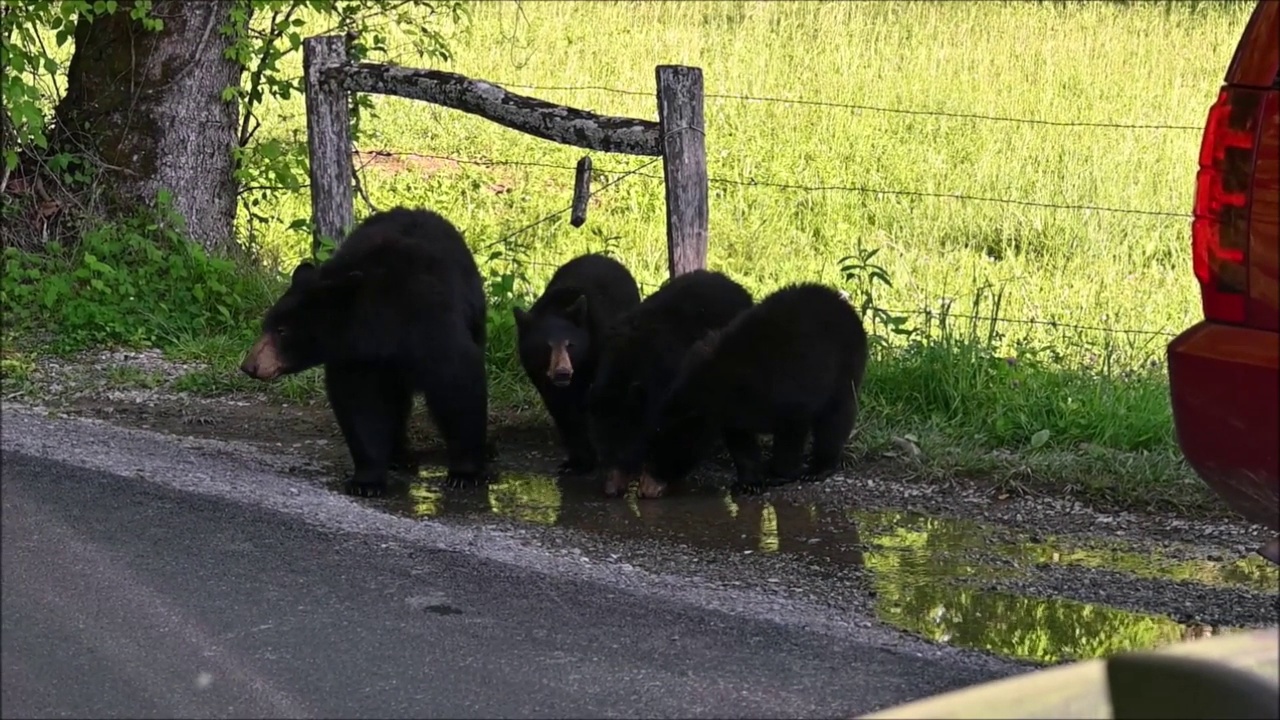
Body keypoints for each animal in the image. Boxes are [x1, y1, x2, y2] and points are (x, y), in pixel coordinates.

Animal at [240, 206, 488, 491]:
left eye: (282, 330)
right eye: (266, 325)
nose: (249, 365)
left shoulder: (430, 325)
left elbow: (456, 385)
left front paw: (463, 473)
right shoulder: (357, 357)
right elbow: (361, 404)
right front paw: (366, 480)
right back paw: (399, 456)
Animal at [514, 249, 645, 474]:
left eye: (570, 345)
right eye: (546, 347)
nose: (562, 372)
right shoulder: (539, 374)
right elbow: (562, 410)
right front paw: (576, 461)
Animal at [640, 283, 870, 497]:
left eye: (659, 454)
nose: (644, 490)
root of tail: (842, 303)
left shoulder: (785, 389)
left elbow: (791, 430)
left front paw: (779, 474)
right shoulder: (731, 410)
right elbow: (741, 441)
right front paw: (749, 483)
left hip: (845, 366)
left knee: (835, 417)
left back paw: (818, 468)